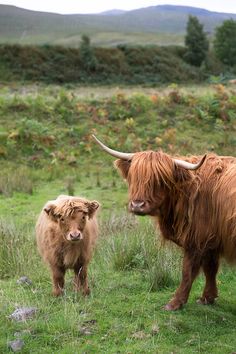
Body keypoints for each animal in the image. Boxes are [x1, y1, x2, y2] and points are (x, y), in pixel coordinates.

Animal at [92, 135, 236, 310]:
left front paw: (175, 303)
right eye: (134, 177)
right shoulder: (210, 241)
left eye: (160, 180)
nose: (137, 205)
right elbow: (210, 269)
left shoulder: (197, 238)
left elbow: (188, 271)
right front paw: (207, 298)